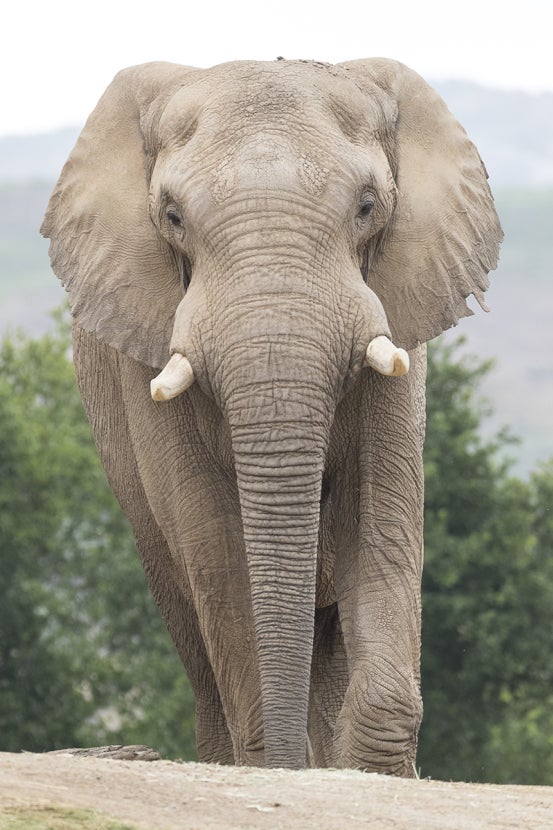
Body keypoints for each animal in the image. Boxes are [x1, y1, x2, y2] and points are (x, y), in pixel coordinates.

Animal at [41, 57, 502, 774]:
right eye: (171, 216)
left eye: (367, 206)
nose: (289, 762)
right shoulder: (142, 345)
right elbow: (211, 537)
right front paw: (273, 762)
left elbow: (380, 514)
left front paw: (365, 771)